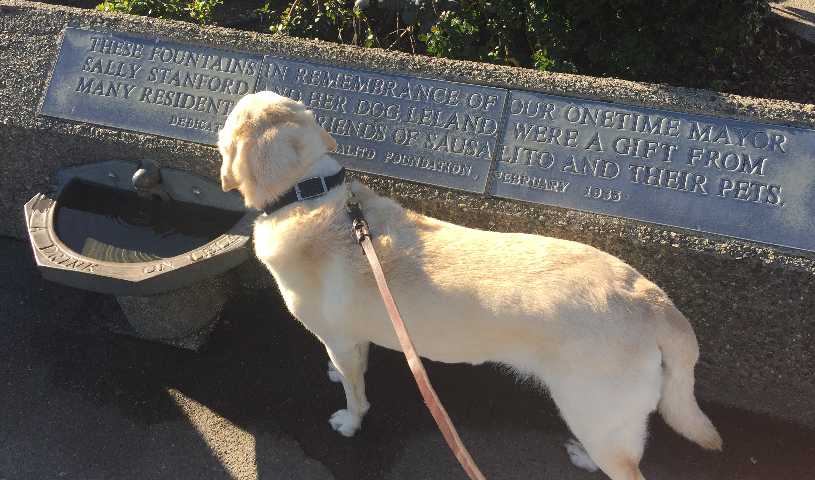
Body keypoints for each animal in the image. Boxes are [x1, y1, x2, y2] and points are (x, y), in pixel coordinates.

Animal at [217, 91, 720, 480]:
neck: (307, 193)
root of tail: (653, 299)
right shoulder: (351, 338)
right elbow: (352, 365)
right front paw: (337, 374)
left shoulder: (338, 337)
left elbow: (356, 391)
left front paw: (350, 420)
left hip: (593, 411)